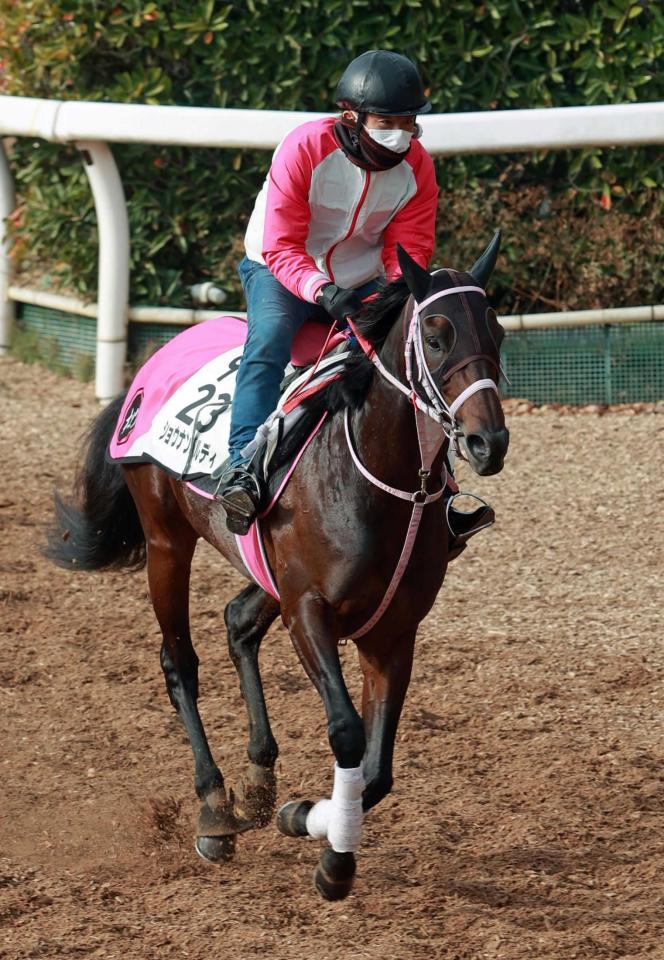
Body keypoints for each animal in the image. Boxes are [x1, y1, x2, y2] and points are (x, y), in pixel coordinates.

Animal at [45, 236, 509, 901]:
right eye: (437, 334)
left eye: (496, 329)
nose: (487, 443)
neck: (377, 479)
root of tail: (157, 358)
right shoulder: (308, 612)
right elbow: (346, 732)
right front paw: (332, 857)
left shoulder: (393, 632)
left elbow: (379, 768)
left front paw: (302, 816)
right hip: (166, 539)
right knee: (178, 662)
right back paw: (215, 806)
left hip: (262, 576)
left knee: (238, 621)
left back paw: (259, 783)